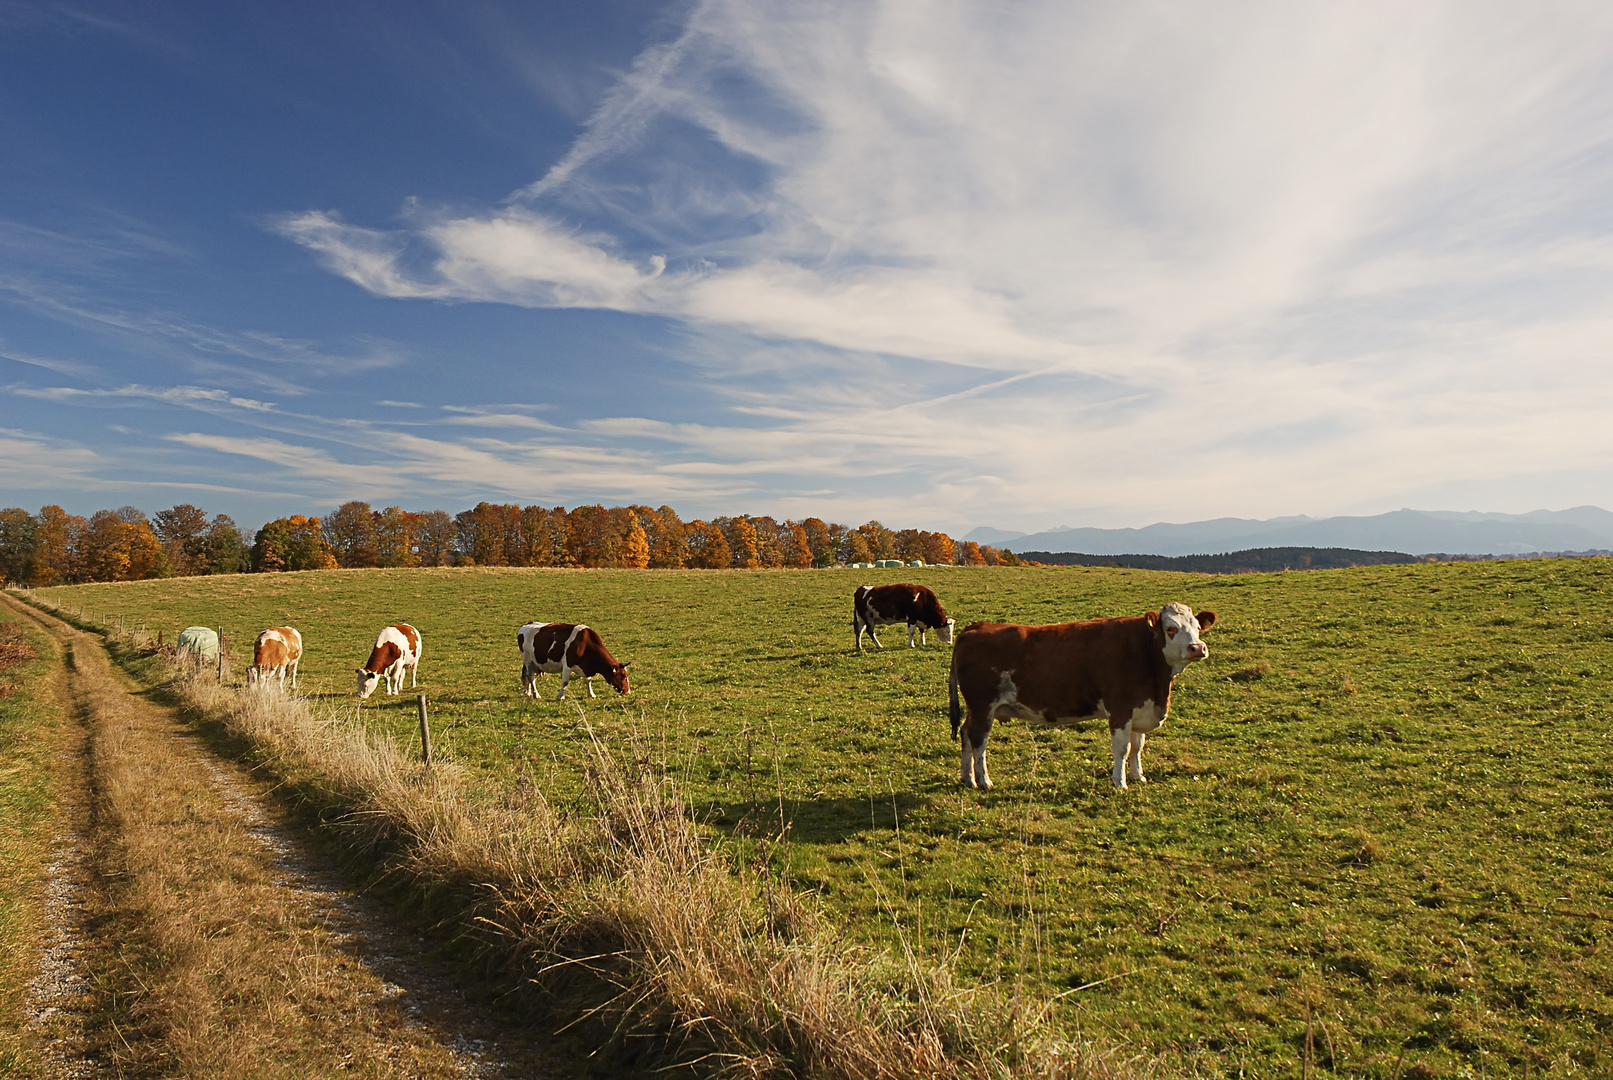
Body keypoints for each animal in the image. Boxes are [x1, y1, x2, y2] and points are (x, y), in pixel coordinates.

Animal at [941, 606, 1212, 789]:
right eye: (1171, 629)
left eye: (1198, 628)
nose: (1197, 648)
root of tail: (975, 627)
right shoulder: (1120, 708)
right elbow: (1122, 748)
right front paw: (1120, 782)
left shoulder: (1141, 707)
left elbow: (1137, 746)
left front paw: (1138, 776)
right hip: (983, 705)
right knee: (979, 739)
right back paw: (983, 780)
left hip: (975, 708)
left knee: (965, 733)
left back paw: (967, 778)